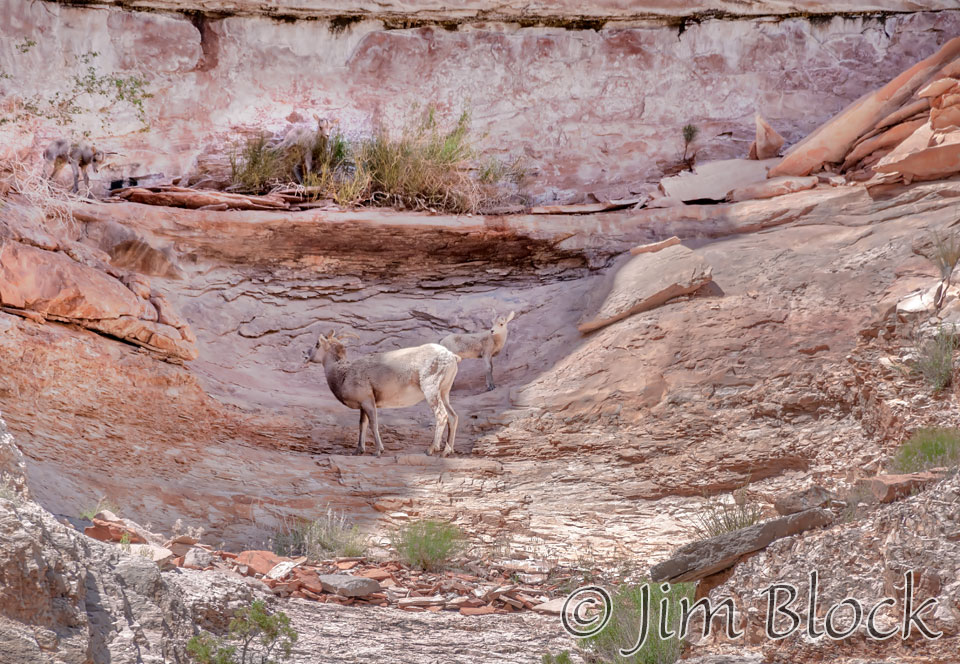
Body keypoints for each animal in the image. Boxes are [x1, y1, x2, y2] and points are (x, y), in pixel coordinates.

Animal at [307, 330, 460, 457]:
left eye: (317, 344)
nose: (306, 354)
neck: (343, 374)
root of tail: (451, 356)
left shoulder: (368, 403)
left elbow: (373, 424)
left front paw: (378, 451)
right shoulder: (363, 406)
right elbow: (362, 425)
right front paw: (358, 451)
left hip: (431, 391)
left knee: (441, 415)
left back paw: (430, 450)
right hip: (444, 393)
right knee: (453, 417)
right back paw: (447, 451)